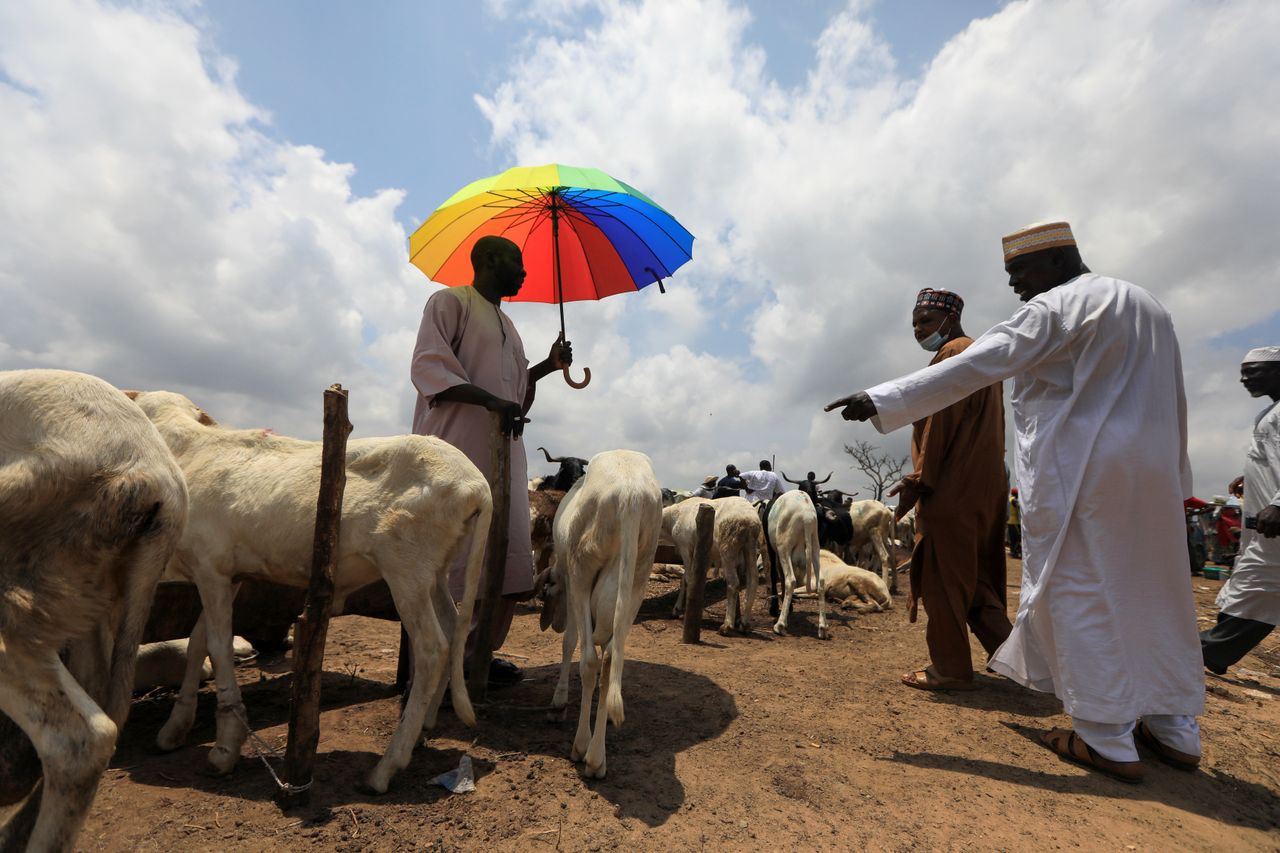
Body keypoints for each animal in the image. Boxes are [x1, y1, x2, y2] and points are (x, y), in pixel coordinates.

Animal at [129, 389, 488, 794]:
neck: (190, 451)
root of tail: (475, 484)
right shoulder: (227, 576)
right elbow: (196, 642)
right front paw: (174, 730)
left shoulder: (211, 569)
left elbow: (219, 649)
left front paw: (225, 748)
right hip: (435, 568)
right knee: (453, 628)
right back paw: (423, 727)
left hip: (404, 566)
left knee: (432, 649)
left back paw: (385, 768)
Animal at [537, 450, 660, 778]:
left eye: (548, 592)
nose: (552, 623)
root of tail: (630, 494)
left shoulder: (571, 583)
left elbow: (570, 643)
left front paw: (558, 703)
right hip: (637, 578)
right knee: (609, 663)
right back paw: (597, 758)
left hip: (582, 569)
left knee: (590, 661)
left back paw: (582, 748)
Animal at [762, 489, 824, 635]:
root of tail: (807, 517)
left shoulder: (772, 547)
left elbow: (774, 573)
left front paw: (774, 609)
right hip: (814, 545)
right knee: (821, 581)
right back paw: (822, 627)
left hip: (783, 547)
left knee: (790, 580)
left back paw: (780, 625)